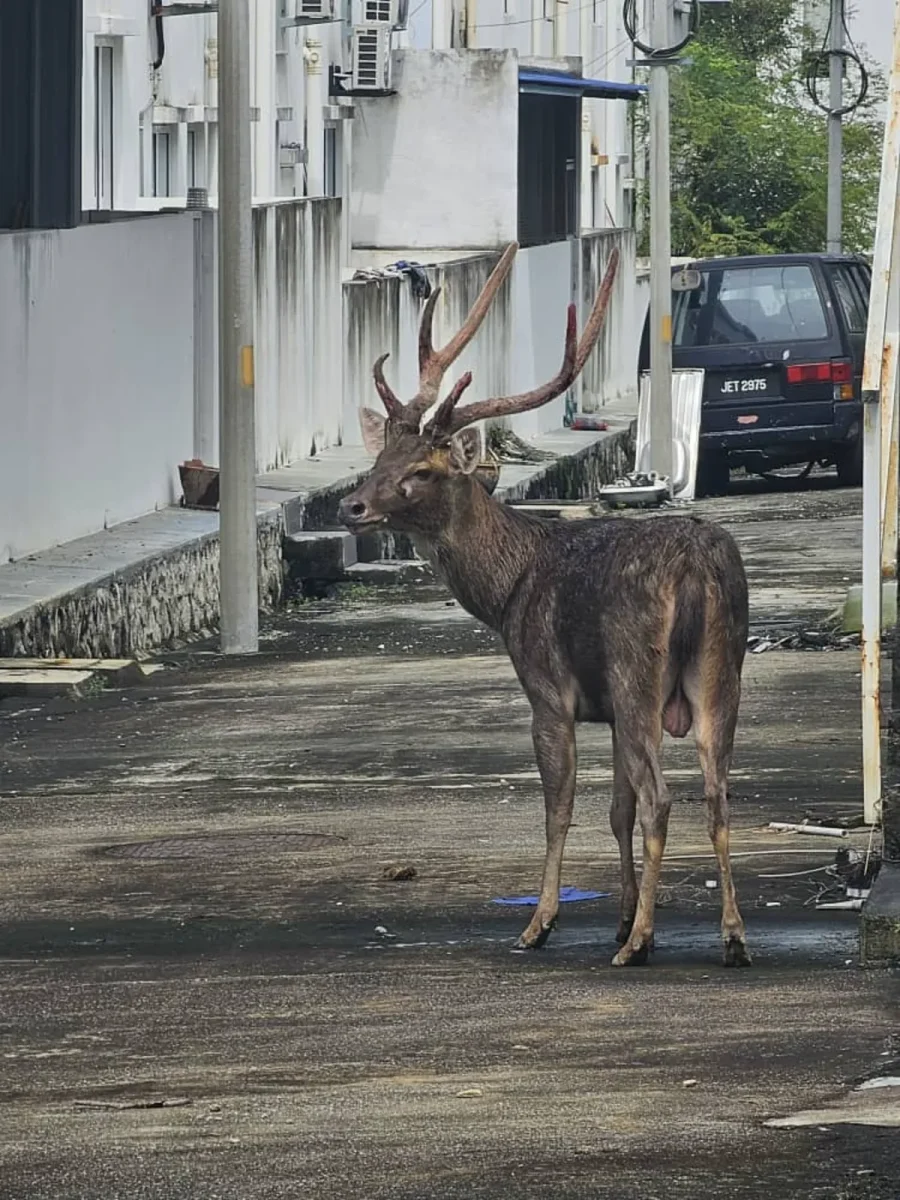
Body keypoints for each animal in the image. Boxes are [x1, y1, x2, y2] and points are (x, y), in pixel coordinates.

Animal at [338, 243, 751, 968]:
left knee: (663, 797)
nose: (351, 506)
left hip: (636, 668)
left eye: (422, 469)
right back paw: (731, 936)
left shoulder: (550, 691)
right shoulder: (608, 710)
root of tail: (697, 569)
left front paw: (545, 922)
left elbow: (560, 807)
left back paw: (638, 946)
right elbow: (614, 809)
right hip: (718, 671)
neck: (507, 589)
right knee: (716, 793)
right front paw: (620, 913)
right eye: (382, 455)